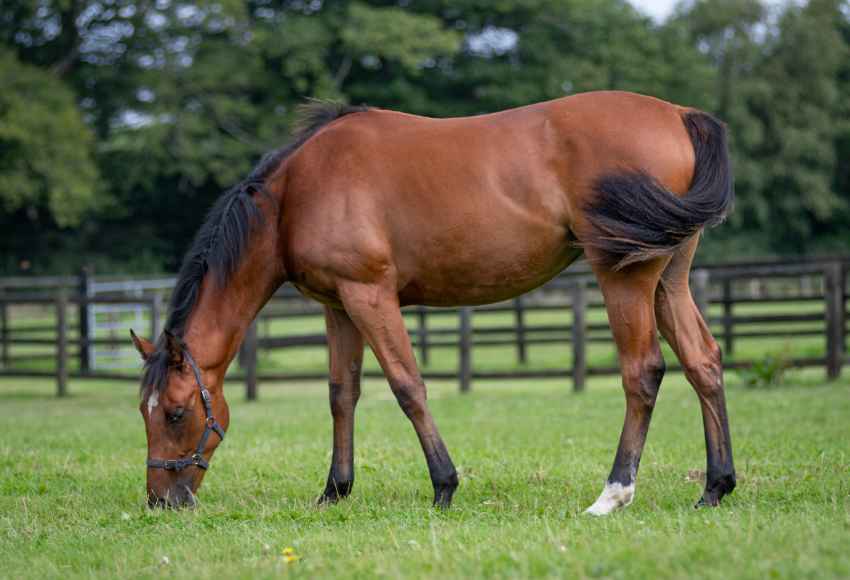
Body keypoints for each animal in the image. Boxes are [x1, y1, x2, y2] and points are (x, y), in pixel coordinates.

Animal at [132, 92, 736, 516]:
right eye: (145, 411)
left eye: (176, 412)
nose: (161, 500)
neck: (297, 193)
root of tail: (679, 114)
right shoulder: (338, 306)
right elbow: (341, 394)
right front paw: (335, 491)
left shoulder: (369, 295)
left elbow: (407, 386)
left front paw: (444, 486)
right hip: (668, 281)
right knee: (703, 361)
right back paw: (715, 486)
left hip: (623, 278)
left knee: (643, 372)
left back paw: (613, 494)